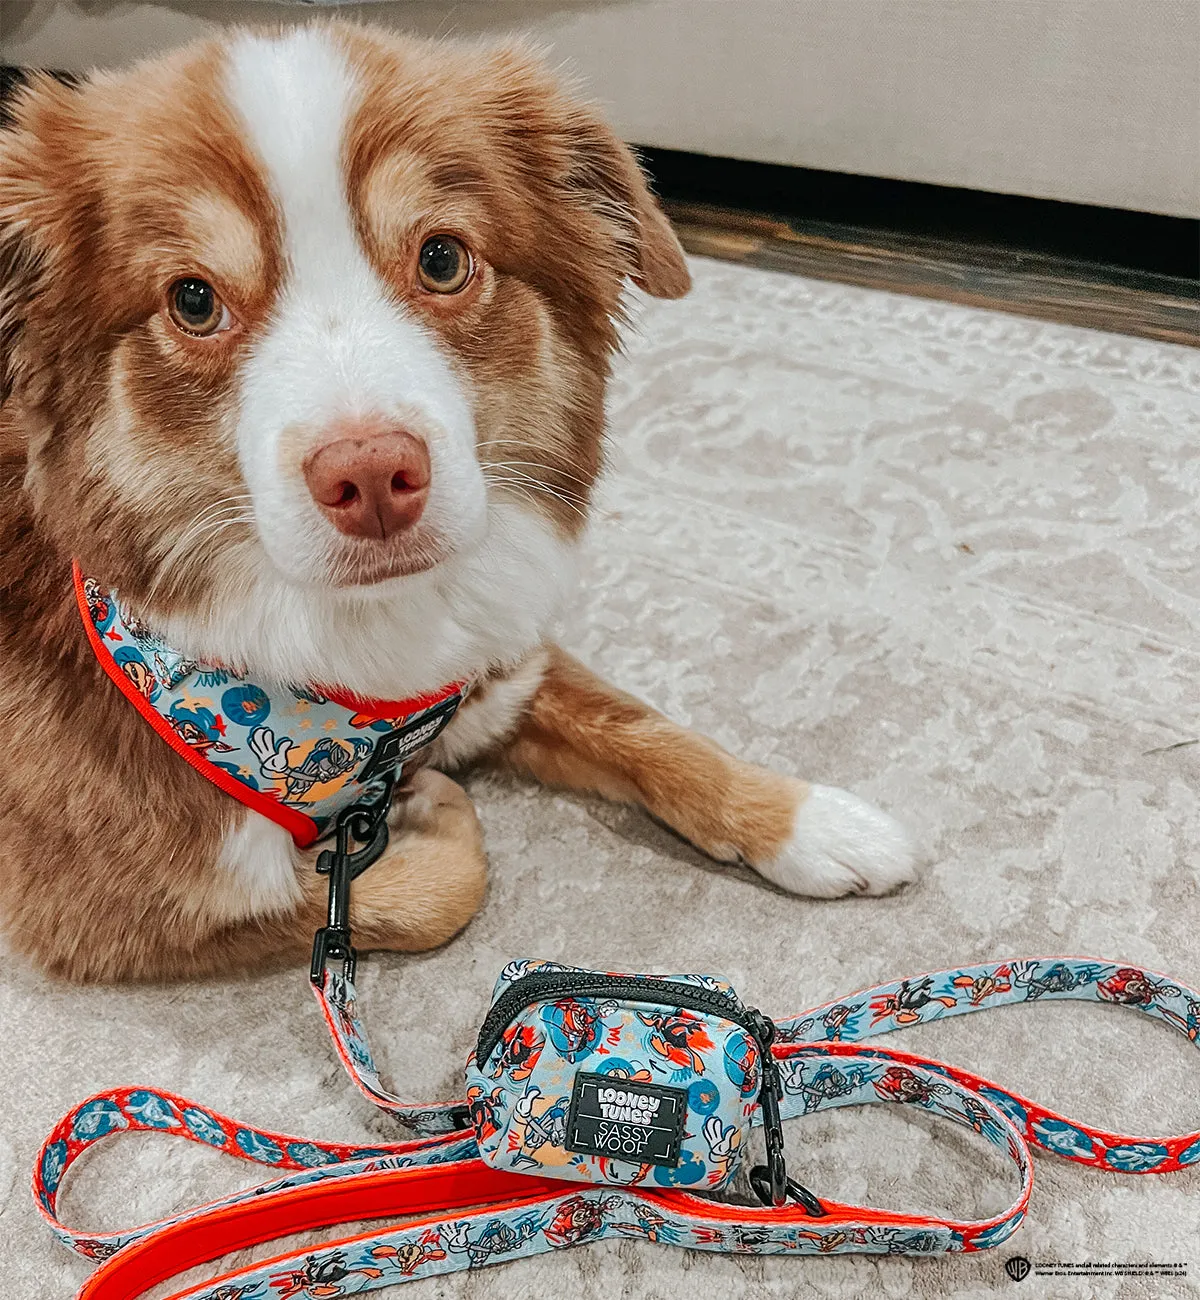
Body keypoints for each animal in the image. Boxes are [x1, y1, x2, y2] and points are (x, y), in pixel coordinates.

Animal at [0, 22, 915, 982]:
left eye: (442, 259)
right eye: (193, 299)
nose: (371, 477)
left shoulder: (498, 665)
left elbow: (649, 726)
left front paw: (809, 820)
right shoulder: (103, 911)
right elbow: (425, 893)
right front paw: (430, 809)